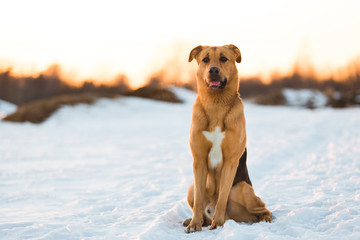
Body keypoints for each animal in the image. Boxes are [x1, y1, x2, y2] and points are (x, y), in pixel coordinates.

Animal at [184, 44, 272, 232]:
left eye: (224, 58)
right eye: (205, 59)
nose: (213, 70)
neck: (216, 104)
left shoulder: (231, 161)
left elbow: (222, 197)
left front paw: (217, 224)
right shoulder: (199, 160)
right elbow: (198, 202)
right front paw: (194, 224)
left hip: (243, 188)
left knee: (264, 208)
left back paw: (264, 219)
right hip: (191, 187)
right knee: (200, 206)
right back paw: (195, 220)